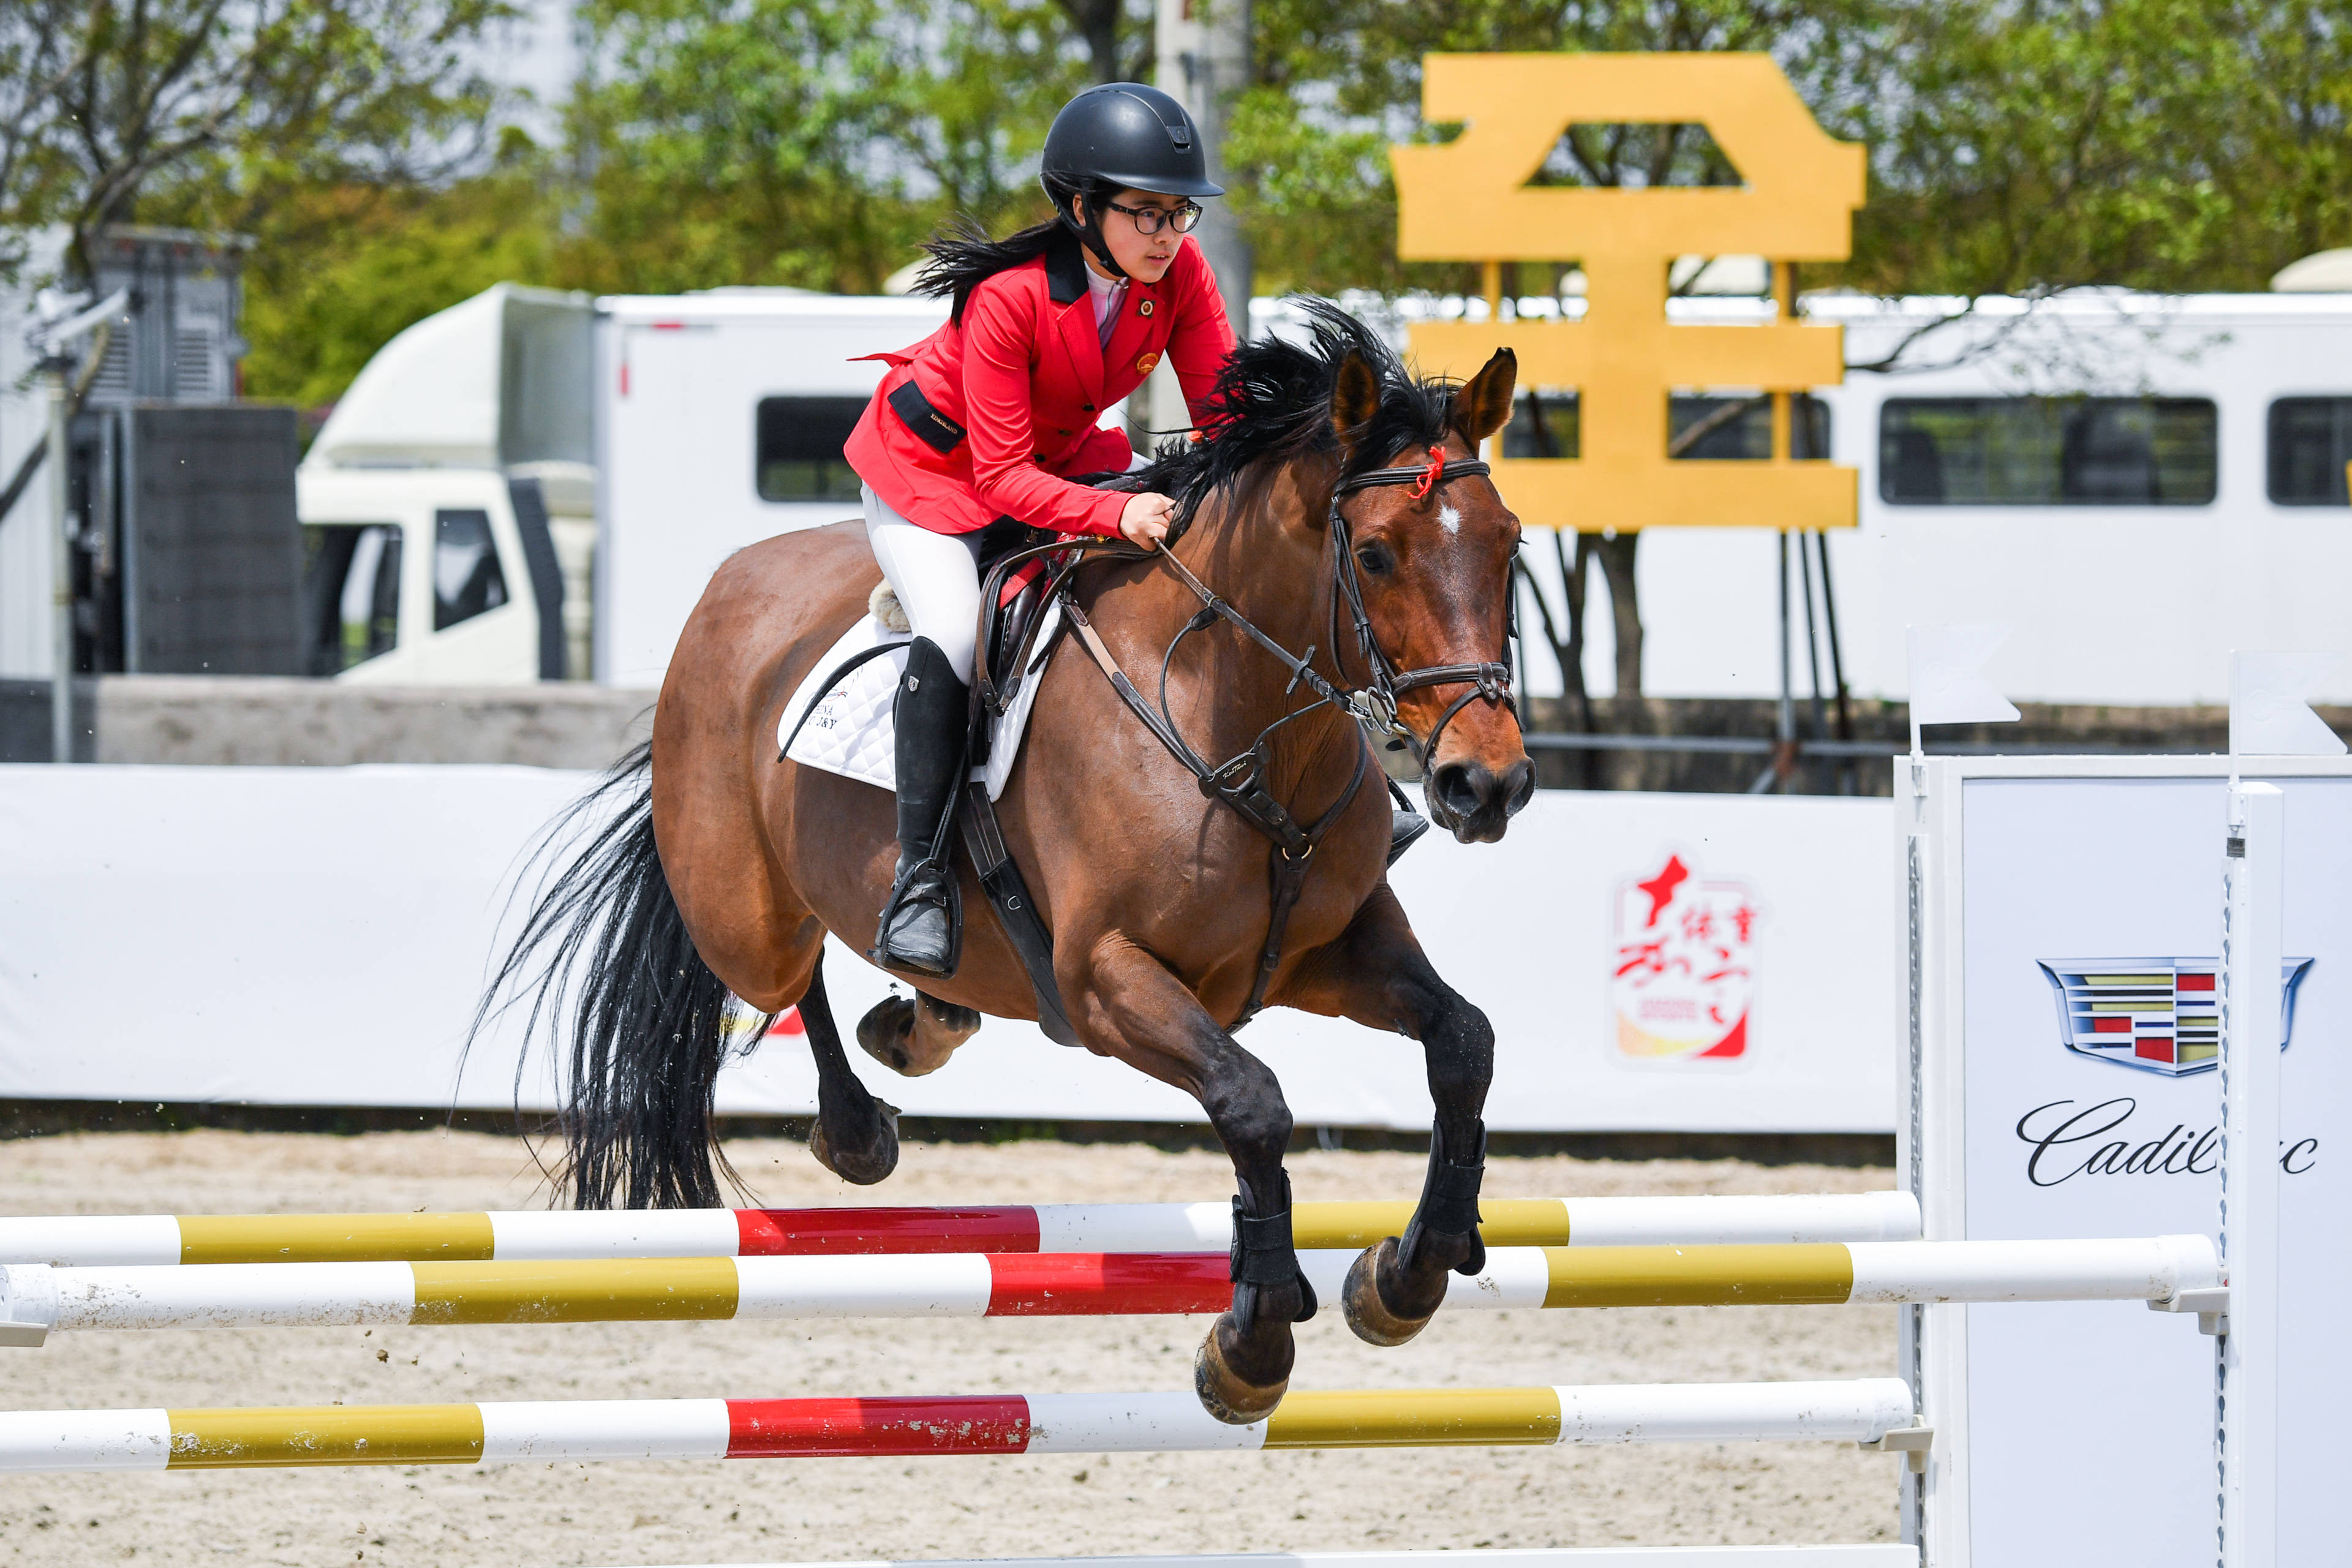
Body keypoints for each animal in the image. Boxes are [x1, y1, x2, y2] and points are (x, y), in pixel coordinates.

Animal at [486, 303, 1533, 1420]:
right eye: (1374, 556)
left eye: (1509, 542)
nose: (1486, 785)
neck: (1235, 716)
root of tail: (729, 590)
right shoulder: (1105, 981)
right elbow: (1253, 1104)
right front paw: (1251, 1342)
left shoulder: (1331, 952)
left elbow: (1464, 1043)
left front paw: (1409, 1273)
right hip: (743, 917)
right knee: (788, 974)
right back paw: (859, 1118)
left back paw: (921, 1018)